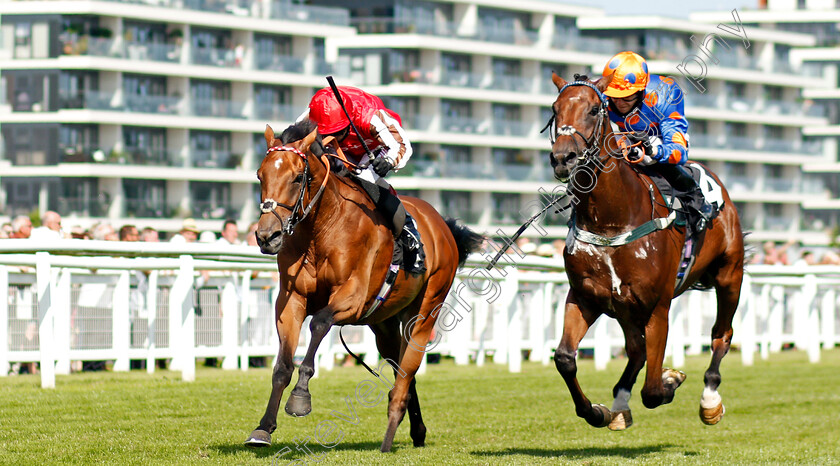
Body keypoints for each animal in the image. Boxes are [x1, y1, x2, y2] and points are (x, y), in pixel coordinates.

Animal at [246, 119, 482, 452]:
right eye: (260, 175)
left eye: (297, 177)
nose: (268, 236)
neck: (323, 229)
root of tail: (442, 226)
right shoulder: (291, 300)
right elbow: (282, 366)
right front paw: (263, 428)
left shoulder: (353, 297)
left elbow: (319, 323)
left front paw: (300, 397)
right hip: (384, 324)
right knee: (401, 371)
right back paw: (417, 429)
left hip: (424, 313)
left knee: (407, 371)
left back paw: (389, 436)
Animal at [548, 72, 744, 430]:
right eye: (556, 110)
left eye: (594, 109)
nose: (563, 158)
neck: (611, 221)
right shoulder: (585, 297)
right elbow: (565, 358)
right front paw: (596, 411)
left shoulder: (658, 307)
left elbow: (653, 390)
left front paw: (670, 378)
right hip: (626, 309)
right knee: (637, 350)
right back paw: (619, 404)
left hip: (729, 276)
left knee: (721, 335)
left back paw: (710, 400)